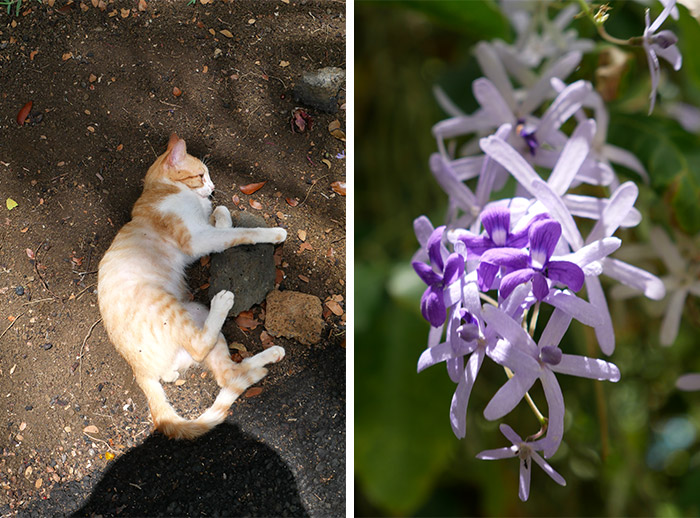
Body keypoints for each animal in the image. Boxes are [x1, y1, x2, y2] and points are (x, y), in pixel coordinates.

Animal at [97, 133, 286, 438]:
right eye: (200, 175)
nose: (212, 187)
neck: (161, 190)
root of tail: (139, 370)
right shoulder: (198, 239)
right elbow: (241, 234)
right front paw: (273, 233)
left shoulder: (204, 232)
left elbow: (223, 222)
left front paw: (221, 212)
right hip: (170, 307)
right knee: (203, 348)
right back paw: (223, 303)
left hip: (197, 312)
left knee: (227, 375)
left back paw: (269, 358)